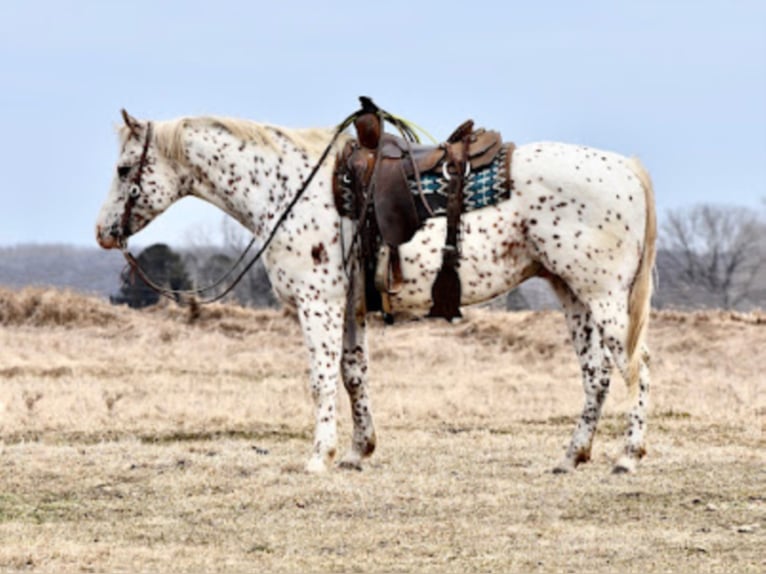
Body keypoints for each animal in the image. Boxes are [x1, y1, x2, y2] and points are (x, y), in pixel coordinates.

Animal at [96, 108, 656, 476]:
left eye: (123, 169)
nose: (104, 232)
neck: (291, 188)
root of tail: (626, 169)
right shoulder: (348, 309)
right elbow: (353, 375)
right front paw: (356, 450)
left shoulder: (317, 304)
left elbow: (322, 379)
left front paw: (318, 457)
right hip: (572, 293)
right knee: (596, 373)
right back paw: (571, 455)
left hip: (605, 298)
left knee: (635, 366)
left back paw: (627, 457)